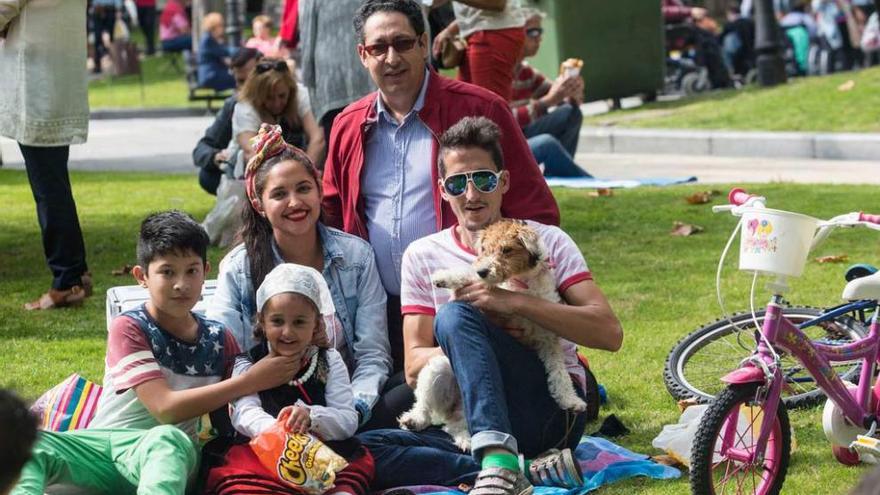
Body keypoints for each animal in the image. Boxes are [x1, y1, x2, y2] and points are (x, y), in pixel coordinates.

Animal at [398, 219, 584, 452]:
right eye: (485, 249)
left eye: (507, 250)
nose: (482, 271)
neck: (521, 283)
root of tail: (457, 406)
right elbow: (471, 279)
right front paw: (444, 277)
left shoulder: (547, 340)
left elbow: (559, 374)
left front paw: (571, 400)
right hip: (436, 370)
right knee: (425, 406)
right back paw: (414, 420)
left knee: (455, 426)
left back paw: (467, 441)